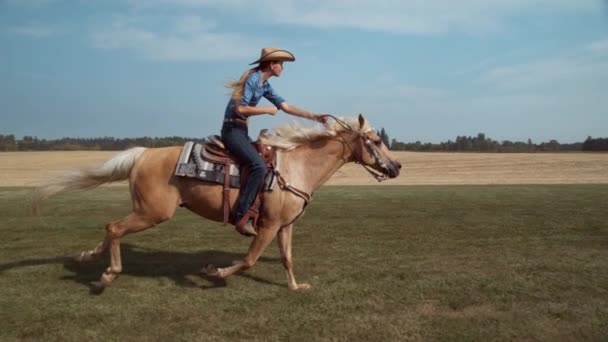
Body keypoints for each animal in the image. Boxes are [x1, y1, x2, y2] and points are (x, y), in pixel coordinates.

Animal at [32, 114, 400, 292]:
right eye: (376, 140)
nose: (396, 166)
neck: (296, 168)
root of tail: (143, 154)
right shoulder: (266, 226)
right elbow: (249, 260)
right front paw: (216, 271)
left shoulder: (285, 226)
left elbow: (287, 259)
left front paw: (296, 287)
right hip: (153, 212)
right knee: (114, 227)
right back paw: (107, 276)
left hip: (144, 210)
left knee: (111, 229)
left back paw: (89, 258)